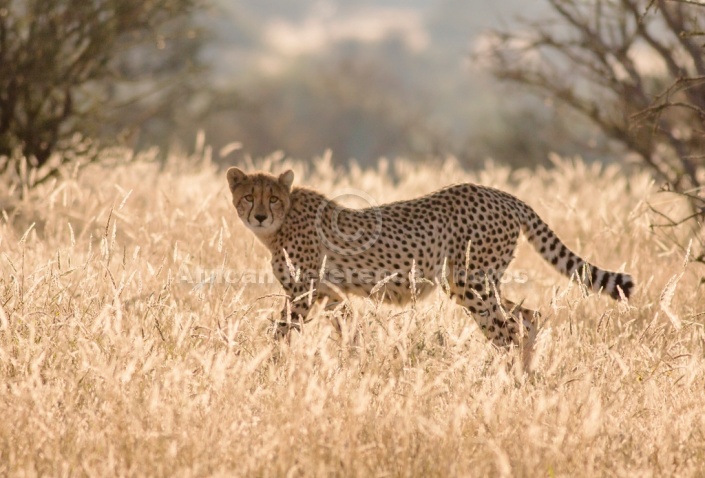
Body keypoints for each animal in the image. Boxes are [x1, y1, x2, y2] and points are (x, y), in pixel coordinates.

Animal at [228, 168, 636, 348]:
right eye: (249, 196)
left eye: (272, 198)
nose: (259, 215)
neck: (279, 226)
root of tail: (501, 194)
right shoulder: (332, 295)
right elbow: (347, 331)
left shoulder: (304, 292)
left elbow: (280, 332)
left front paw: (262, 367)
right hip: (472, 282)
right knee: (527, 318)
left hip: (470, 282)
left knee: (505, 330)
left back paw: (503, 385)